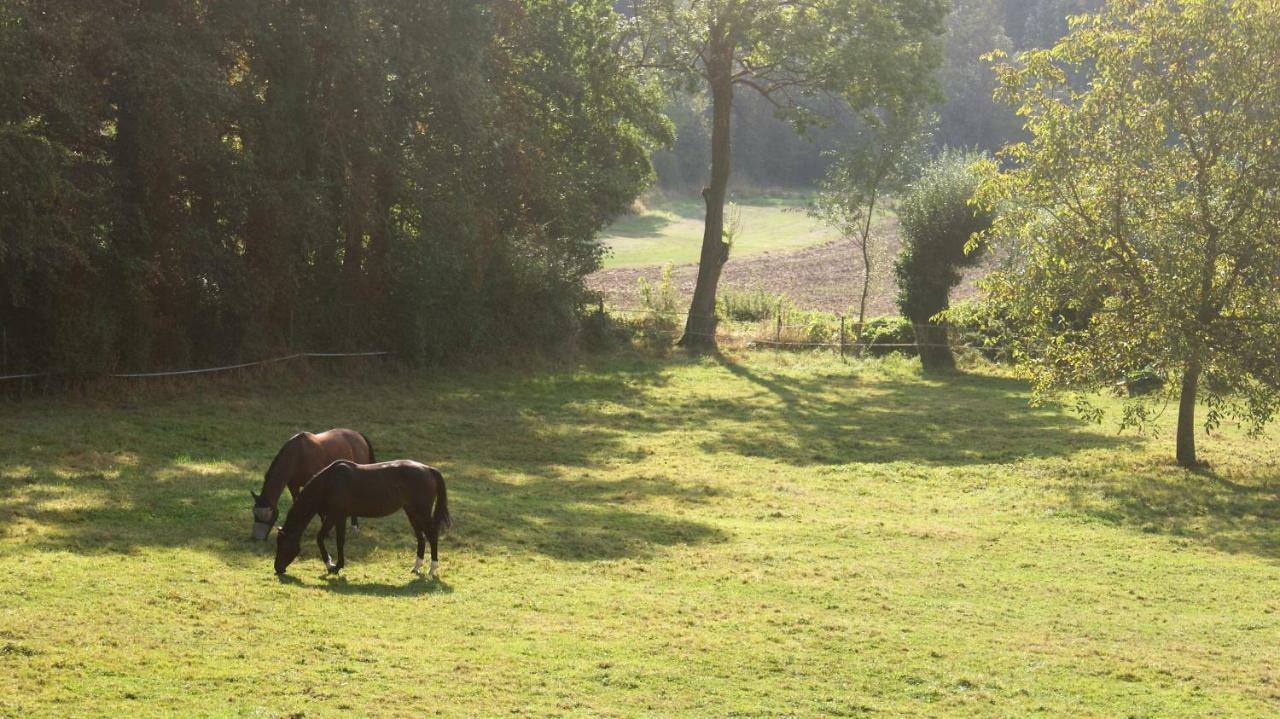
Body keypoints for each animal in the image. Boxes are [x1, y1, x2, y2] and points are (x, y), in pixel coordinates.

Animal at [272, 458, 453, 575]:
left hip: (422, 512)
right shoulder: (337, 517)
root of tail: (429, 469)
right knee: (421, 538)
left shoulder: (336, 516)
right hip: (412, 513)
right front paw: (334, 565)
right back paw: (416, 567)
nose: (277, 568)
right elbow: (331, 539)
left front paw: (333, 566)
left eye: (282, 544)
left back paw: (432, 569)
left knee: (432, 536)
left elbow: (327, 539)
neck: (330, 482)